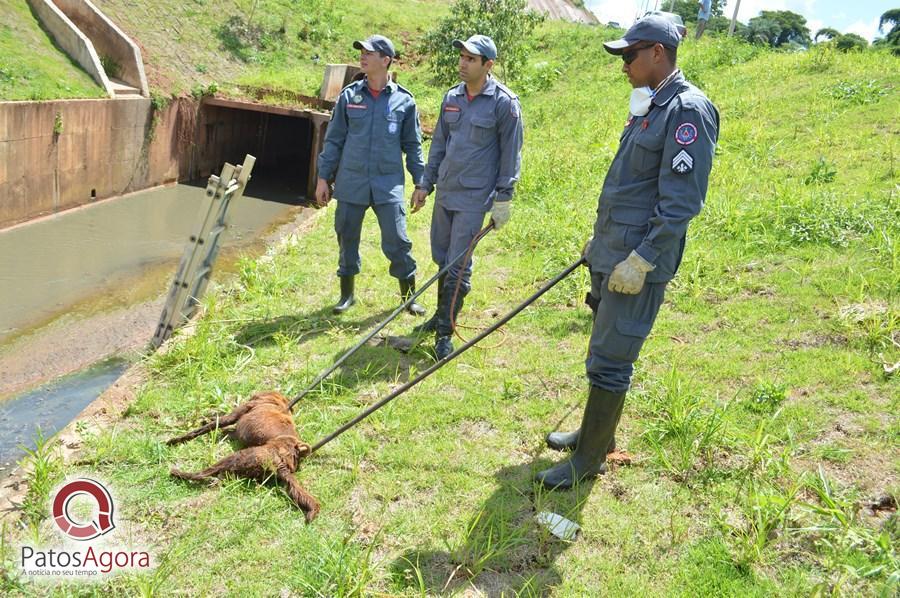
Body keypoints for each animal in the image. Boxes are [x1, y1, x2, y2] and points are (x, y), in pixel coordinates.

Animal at [166, 392, 320, 524]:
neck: (272, 402)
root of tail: (281, 463)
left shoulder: (236, 414)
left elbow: (206, 428)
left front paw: (175, 440)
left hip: (238, 457)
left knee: (204, 473)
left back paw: (178, 473)